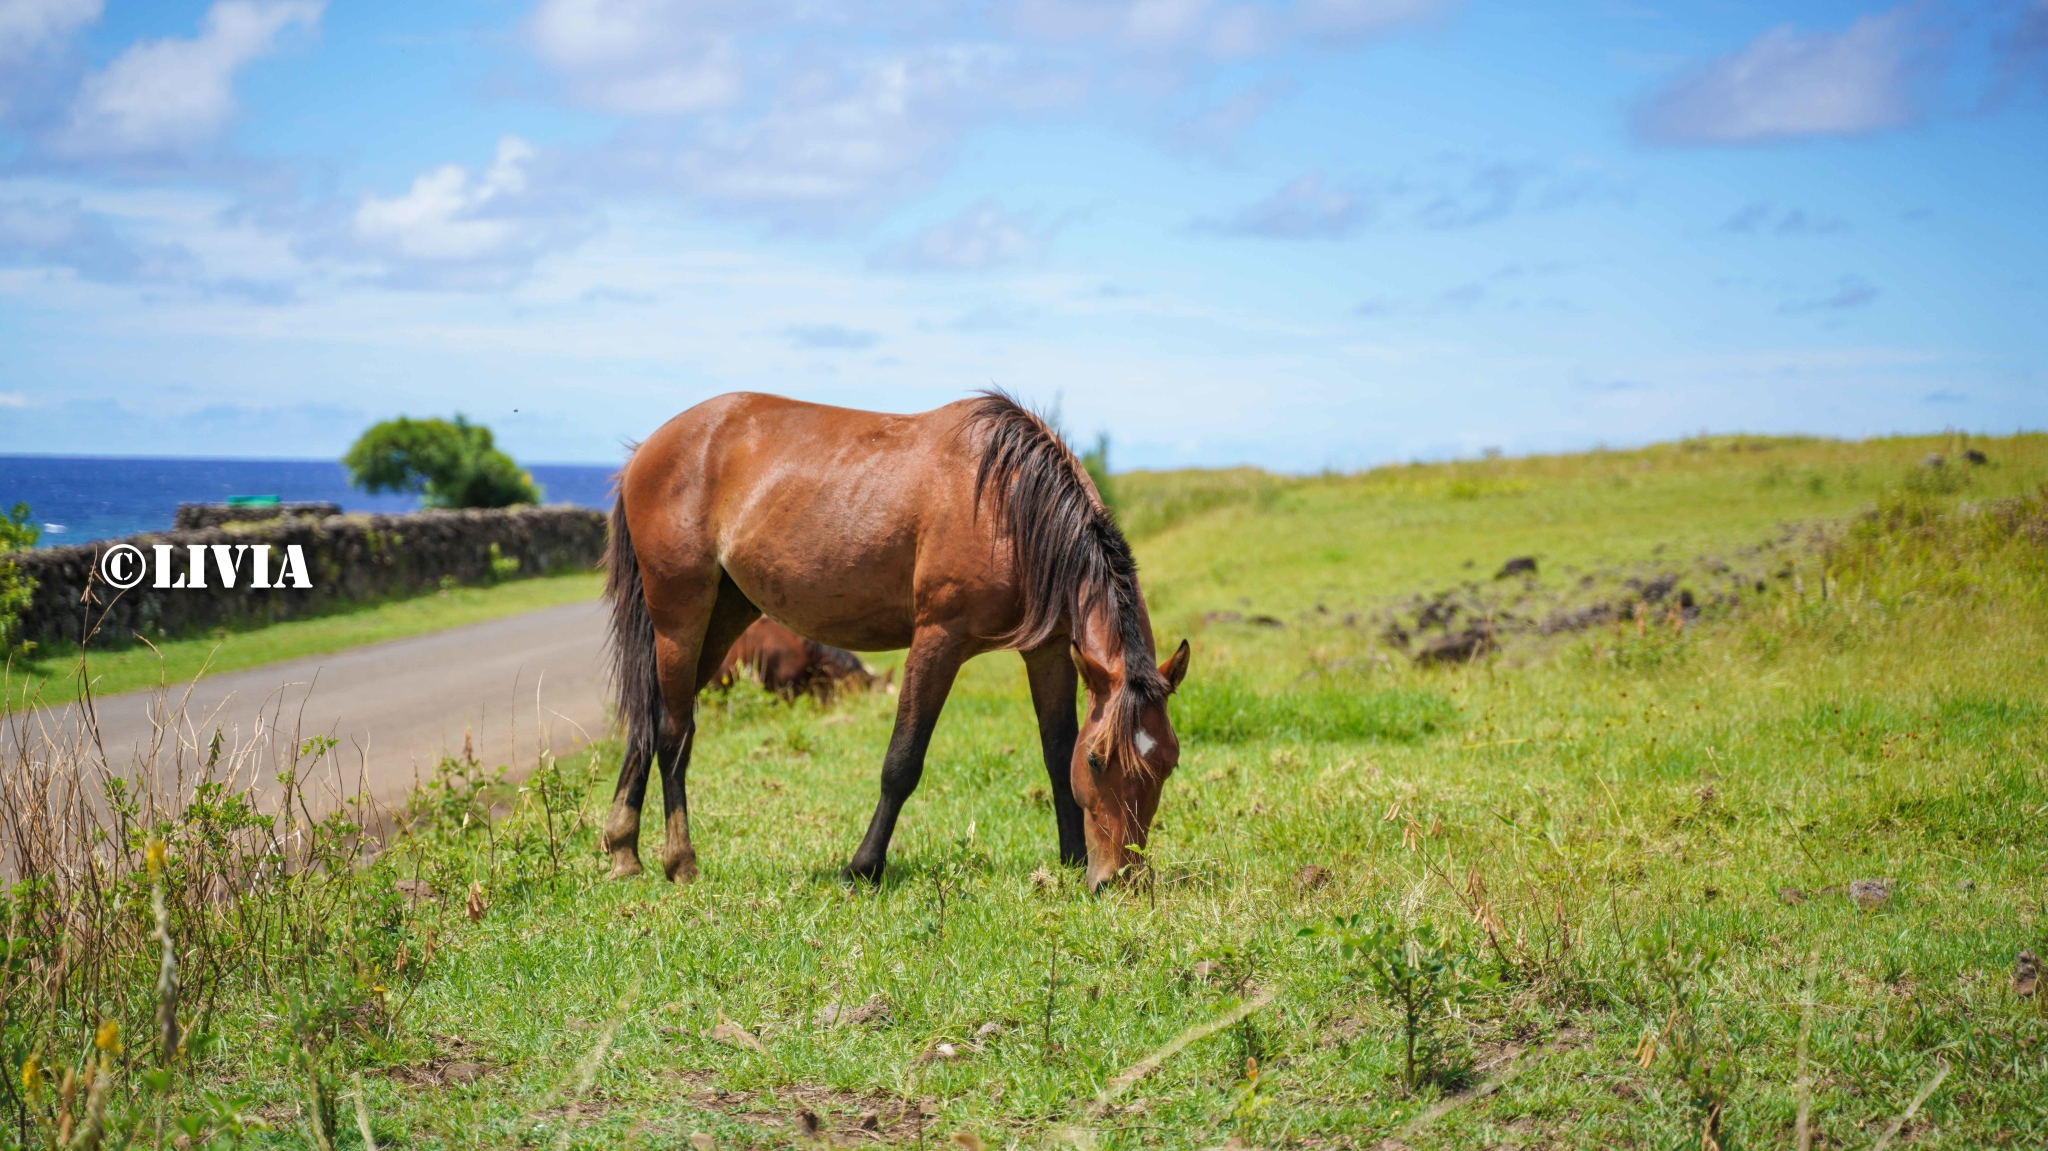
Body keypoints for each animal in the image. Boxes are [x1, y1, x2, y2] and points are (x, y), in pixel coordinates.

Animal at [598, 387, 1196, 888]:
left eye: (1168, 762)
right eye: (1097, 761)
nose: (1120, 879)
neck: (1008, 505)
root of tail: (647, 451)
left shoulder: (1047, 653)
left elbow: (1053, 752)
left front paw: (1071, 858)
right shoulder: (938, 640)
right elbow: (902, 762)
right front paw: (862, 868)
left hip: (723, 617)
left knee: (649, 719)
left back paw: (625, 850)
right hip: (680, 618)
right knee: (674, 732)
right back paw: (680, 862)